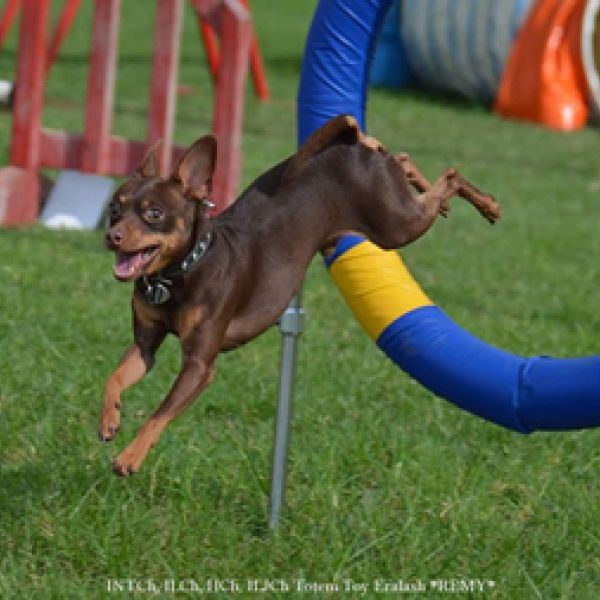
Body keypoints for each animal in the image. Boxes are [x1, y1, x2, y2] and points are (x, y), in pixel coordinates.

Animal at [101, 115, 500, 476]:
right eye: (114, 209)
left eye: (154, 214)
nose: (112, 236)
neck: (180, 272)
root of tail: (352, 143)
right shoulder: (146, 346)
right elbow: (114, 377)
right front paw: (109, 418)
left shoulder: (200, 366)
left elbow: (160, 413)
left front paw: (130, 456)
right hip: (396, 210)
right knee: (402, 160)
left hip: (397, 226)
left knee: (450, 177)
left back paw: (487, 204)